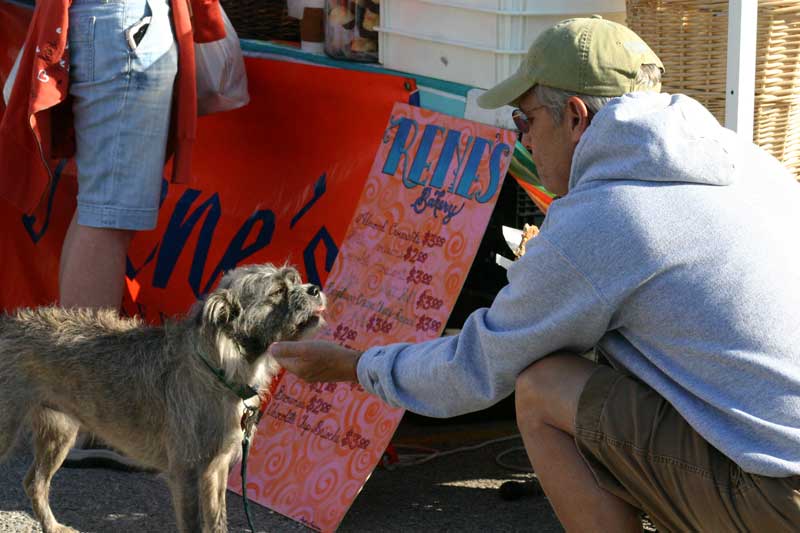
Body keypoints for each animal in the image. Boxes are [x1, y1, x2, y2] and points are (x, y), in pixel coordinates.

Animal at [0, 262, 324, 532]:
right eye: (277, 292)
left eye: (295, 280)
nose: (315, 289)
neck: (218, 366)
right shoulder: (187, 474)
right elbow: (193, 525)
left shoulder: (216, 471)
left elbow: (217, 522)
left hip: (60, 434)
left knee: (35, 483)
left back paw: (52, 526)